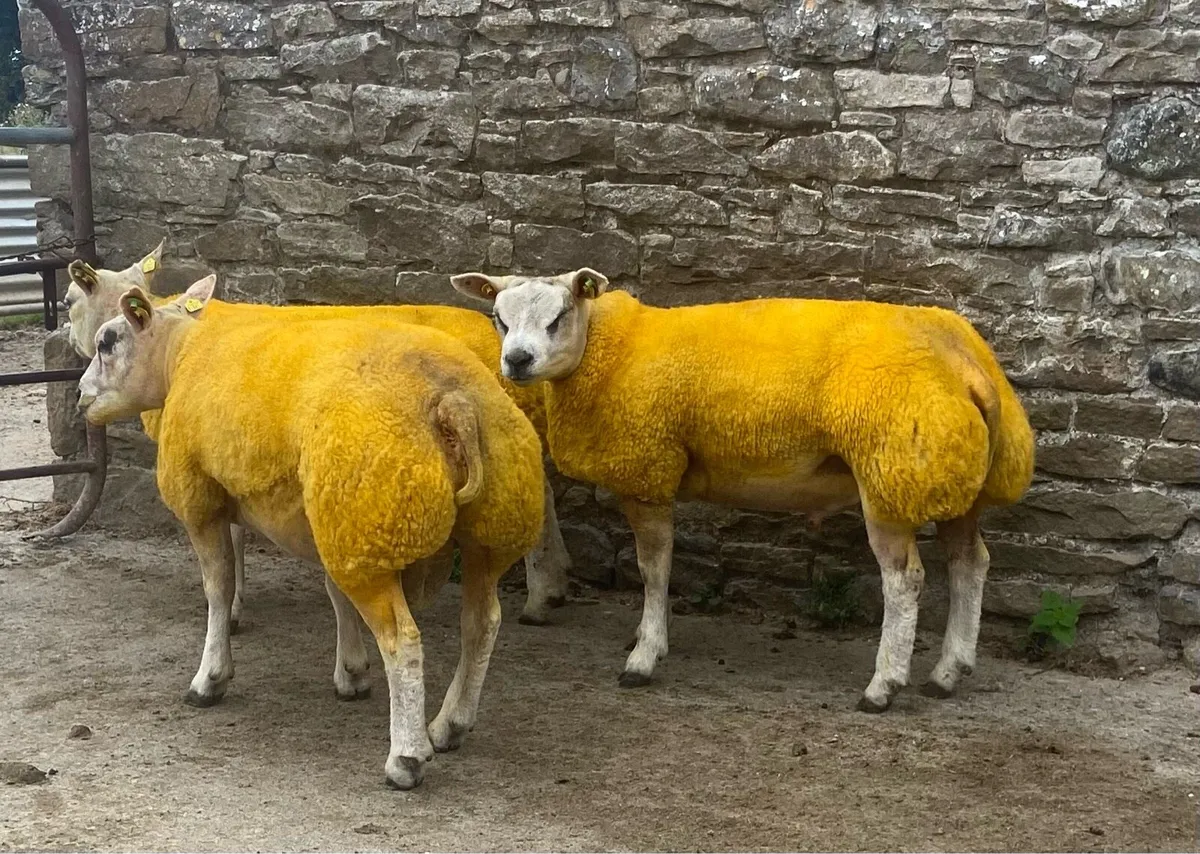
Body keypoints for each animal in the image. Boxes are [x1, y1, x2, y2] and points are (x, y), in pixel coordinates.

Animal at [76, 276, 545, 789]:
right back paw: (450, 724)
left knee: (404, 641)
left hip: (371, 520)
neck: (178, 357)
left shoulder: (202, 500)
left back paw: (406, 756)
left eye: (107, 342)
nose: (80, 395)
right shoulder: (319, 514)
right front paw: (352, 672)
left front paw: (210, 678)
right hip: (482, 526)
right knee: (481, 624)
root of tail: (453, 402)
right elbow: (333, 592)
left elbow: (219, 590)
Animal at [451, 268, 1035, 712]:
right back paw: (948, 671)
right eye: (499, 318)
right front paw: (646, 637)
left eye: (558, 318)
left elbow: (653, 567)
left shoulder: (648, 470)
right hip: (954, 473)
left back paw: (883, 686)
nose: (516, 360)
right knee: (970, 563)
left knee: (905, 580)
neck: (608, 352)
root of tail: (966, 362)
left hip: (892, 472)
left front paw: (645, 655)